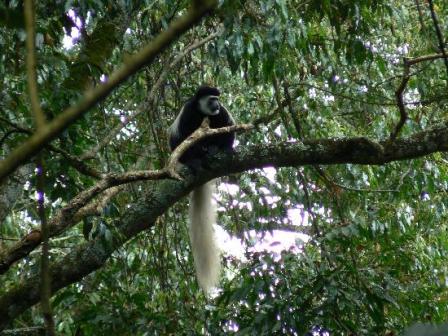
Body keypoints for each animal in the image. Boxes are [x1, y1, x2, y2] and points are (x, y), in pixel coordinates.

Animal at [169, 86, 236, 292]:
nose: (216, 104)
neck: (203, 112)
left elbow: (229, 128)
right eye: (211, 99)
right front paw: (195, 158)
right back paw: (198, 158)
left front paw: (224, 148)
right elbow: (180, 137)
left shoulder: (221, 113)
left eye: (217, 99)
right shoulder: (188, 110)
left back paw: (213, 149)